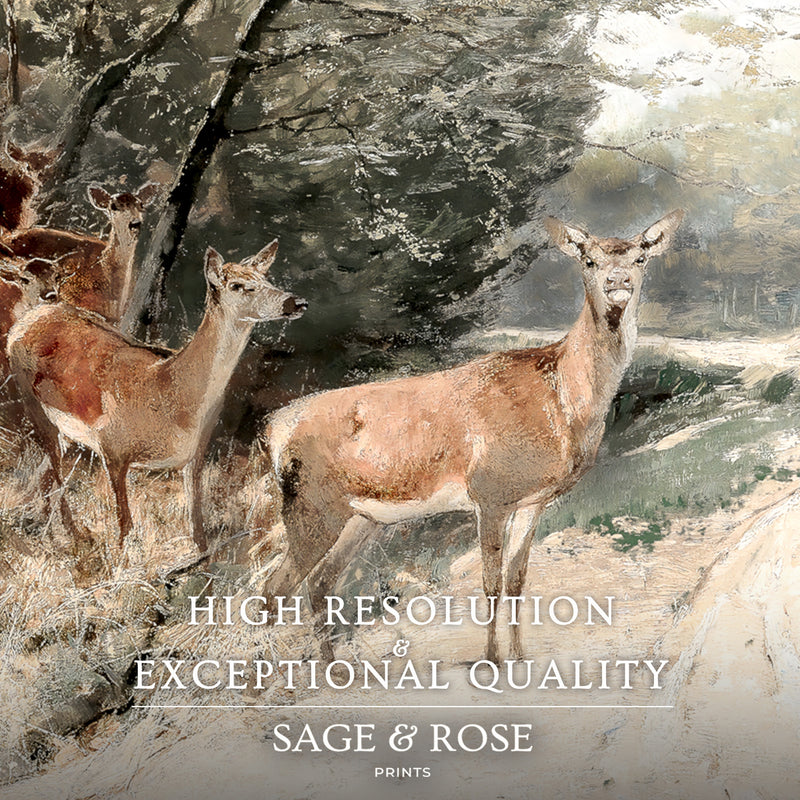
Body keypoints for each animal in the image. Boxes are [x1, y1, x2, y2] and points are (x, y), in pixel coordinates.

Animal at [7, 241, 307, 552]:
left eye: (267, 278)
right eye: (238, 285)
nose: (296, 302)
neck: (171, 396)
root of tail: (27, 319)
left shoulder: (196, 455)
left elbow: (198, 530)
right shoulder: (112, 448)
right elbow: (125, 527)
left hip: (65, 429)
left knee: (47, 475)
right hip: (32, 401)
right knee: (55, 474)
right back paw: (74, 536)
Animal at [258, 210, 683, 664]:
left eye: (640, 258)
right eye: (588, 260)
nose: (618, 282)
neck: (565, 405)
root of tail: (272, 426)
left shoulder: (533, 499)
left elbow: (517, 580)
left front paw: (520, 656)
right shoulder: (489, 491)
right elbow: (491, 582)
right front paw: (492, 658)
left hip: (360, 517)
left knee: (319, 584)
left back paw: (332, 667)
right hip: (311, 502)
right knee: (274, 588)